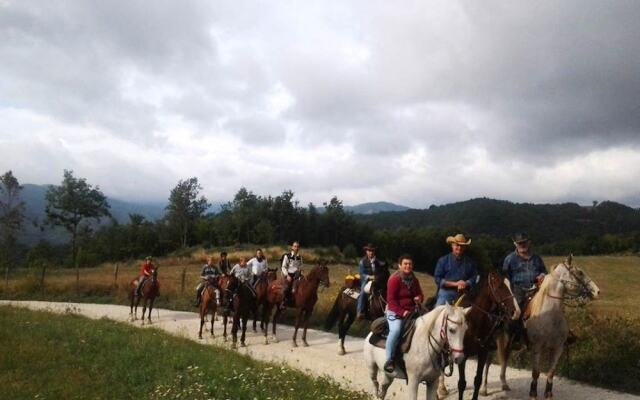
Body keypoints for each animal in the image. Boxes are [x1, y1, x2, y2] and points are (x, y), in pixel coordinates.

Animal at [438, 272, 524, 400]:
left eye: (511, 287)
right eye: (500, 287)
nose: (516, 312)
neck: (473, 322)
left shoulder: (483, 353)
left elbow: (477, 380)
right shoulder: (462, 357)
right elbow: (461, 383)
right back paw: (440, 390)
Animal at [524, 256, 600, 400]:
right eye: (580, 272)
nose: (597, 291)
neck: (550, 316)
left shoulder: (558, 348)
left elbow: (551, 372)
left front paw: (548, 394)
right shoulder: (536, 348)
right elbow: (536, 372)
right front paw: (533, 394)